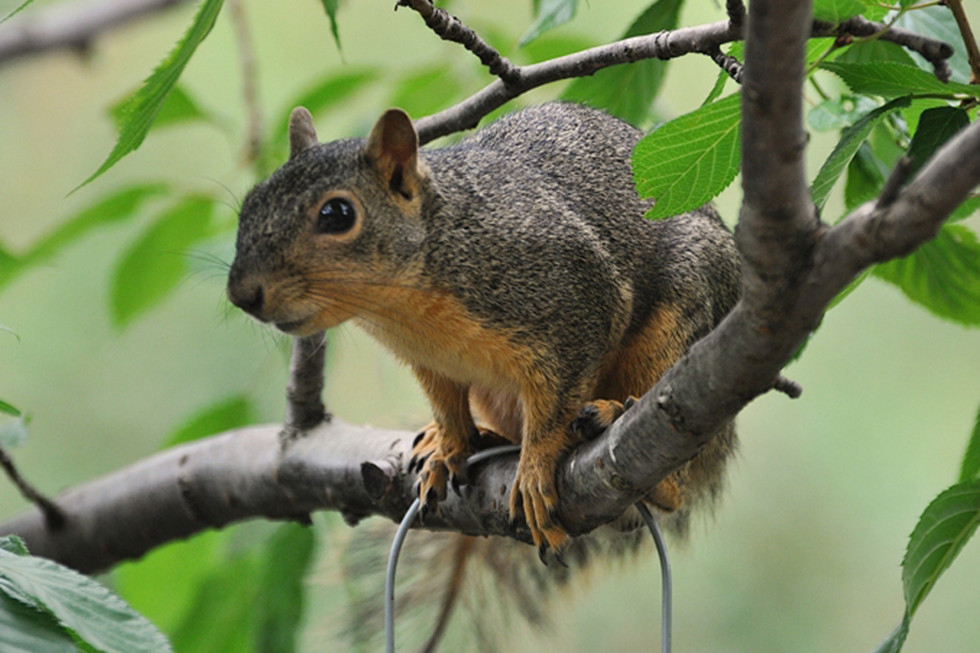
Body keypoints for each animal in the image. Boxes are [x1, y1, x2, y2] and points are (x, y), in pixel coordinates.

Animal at [228, 102, 736, 560]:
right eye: (249, 204)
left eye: (337, 214)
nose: (242, 294)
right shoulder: (431, 361)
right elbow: (447, 405)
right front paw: (446, 446)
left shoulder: (575, 297)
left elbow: (553, 409)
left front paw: (534, 470)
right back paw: (486, 439)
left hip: (679, 321)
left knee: (676, 483)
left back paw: (620, 426)